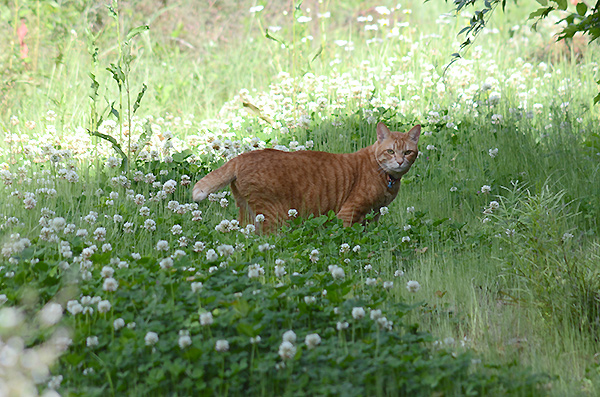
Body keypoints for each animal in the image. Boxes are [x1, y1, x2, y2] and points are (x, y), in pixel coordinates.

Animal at [195, 122, 420, 230]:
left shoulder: (374, 214)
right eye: (390, 151)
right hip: (273, 217)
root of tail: (242, 156)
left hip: (248, 214)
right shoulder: (349, 213)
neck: (387, 178)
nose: (400, 161)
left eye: (408, 152)